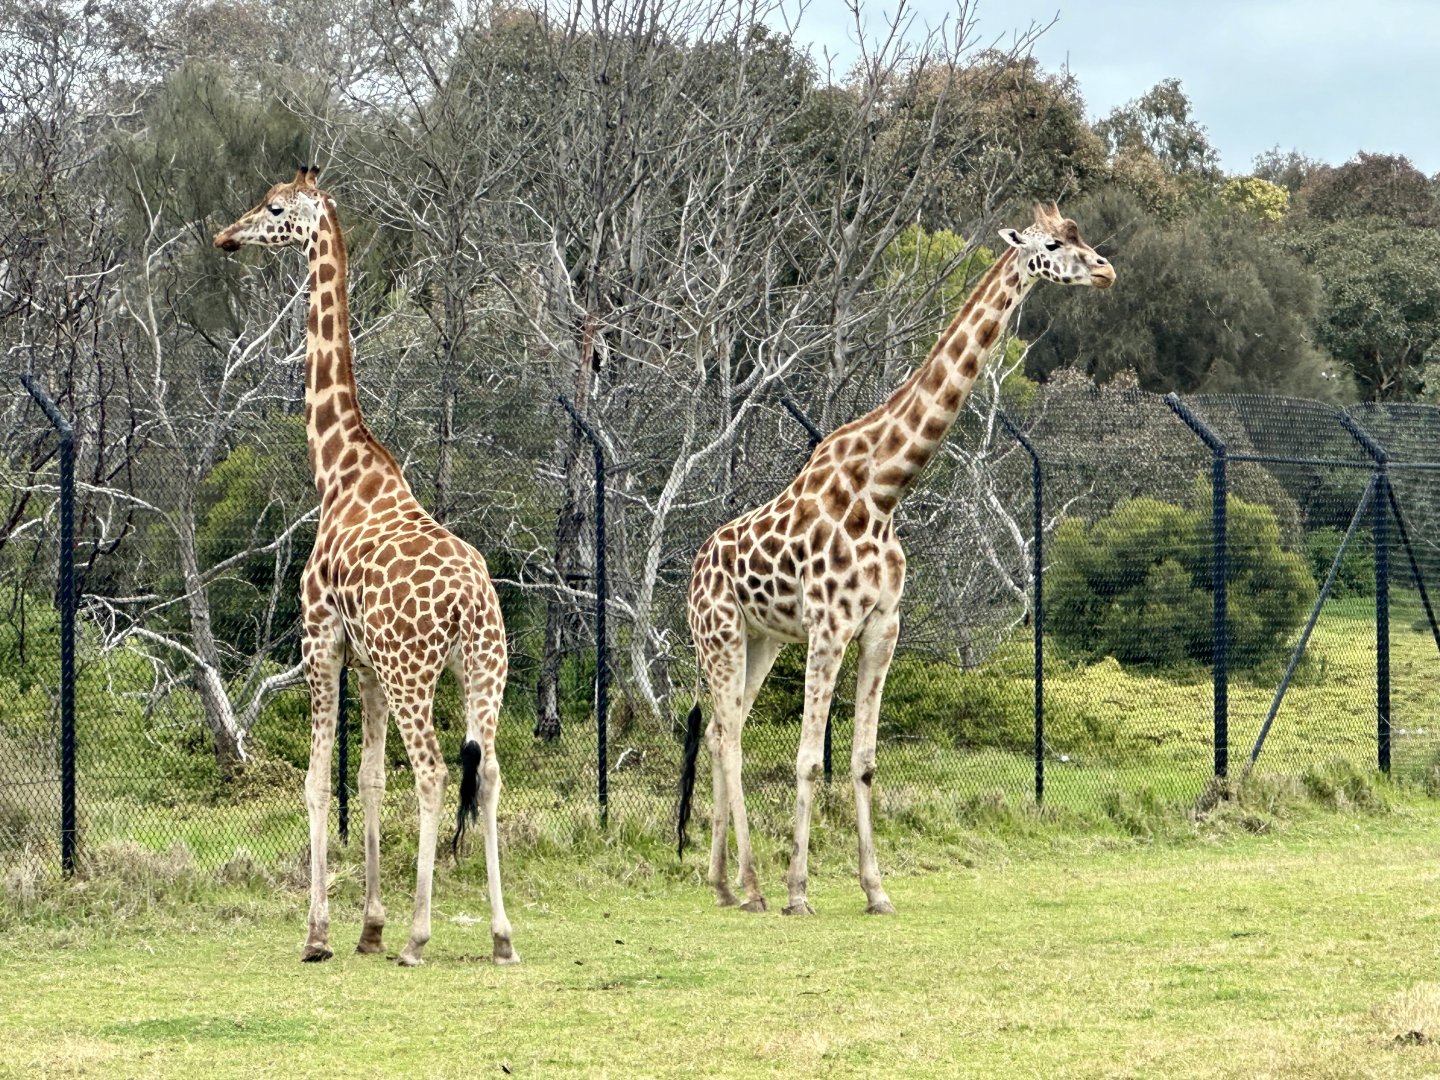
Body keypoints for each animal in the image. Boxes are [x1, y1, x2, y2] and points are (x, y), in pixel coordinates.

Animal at [214, 168, 516, 967]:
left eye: (274, 208)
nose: (226, 236)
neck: (338, 471)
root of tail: (471, 601)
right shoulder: (370, 665)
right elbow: (371, 780)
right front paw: (368, 926)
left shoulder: (320, 642)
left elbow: (320, 782)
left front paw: (321, 932)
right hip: (484, 666)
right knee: (489, 771)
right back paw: (502, 936)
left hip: (418, 671)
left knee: (438, 771)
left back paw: (419, 937)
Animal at [678, 201, 1114, 916]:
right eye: (1052, 245)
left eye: (1080, 236)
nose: (1106, 270)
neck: (883, 489)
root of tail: (693, 569)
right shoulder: (830, 625)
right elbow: (808, 758)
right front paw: (800, 892)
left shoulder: (883, 624)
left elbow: (862, 759)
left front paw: (876, 889)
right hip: (717, 632)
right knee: (731, 737)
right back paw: (755, 887)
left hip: (761, 638)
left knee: (721, 729)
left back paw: (723, 883)